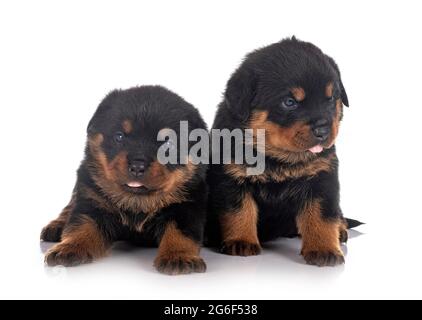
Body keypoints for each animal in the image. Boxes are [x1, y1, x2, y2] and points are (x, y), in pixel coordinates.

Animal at [40, 85, 209, 276]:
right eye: (119, 137)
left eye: (168, 145)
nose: (137, 166)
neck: (136, 201)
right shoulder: (93, 201)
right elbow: (81, 226)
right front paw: (68, 248)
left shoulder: (185, 207)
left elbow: (180, 234)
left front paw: (178, 256)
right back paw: (56, 226)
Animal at [206, 37, 362, 266]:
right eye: (289, 102)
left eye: (331, 98)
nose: (323, 130)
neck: (279, 158)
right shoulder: (232, 177)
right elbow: (239, 211)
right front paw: (241, 241)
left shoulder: (322, 178)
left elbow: (322, 216)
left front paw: (325, 249)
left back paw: (340, 230)